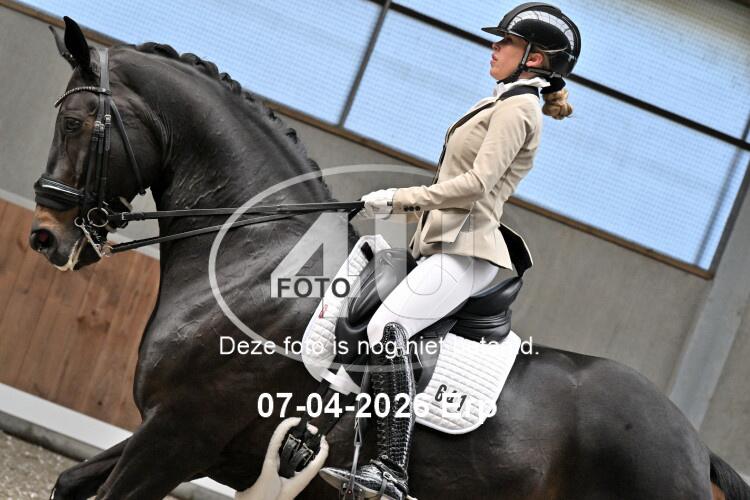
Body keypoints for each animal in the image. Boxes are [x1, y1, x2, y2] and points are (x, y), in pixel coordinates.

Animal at [27, 17, 748, 500]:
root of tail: (694, 444)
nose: (44, 237)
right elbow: (69, 481)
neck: (251, 264)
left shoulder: (180, 436)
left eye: (75, 123)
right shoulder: (175, 439)